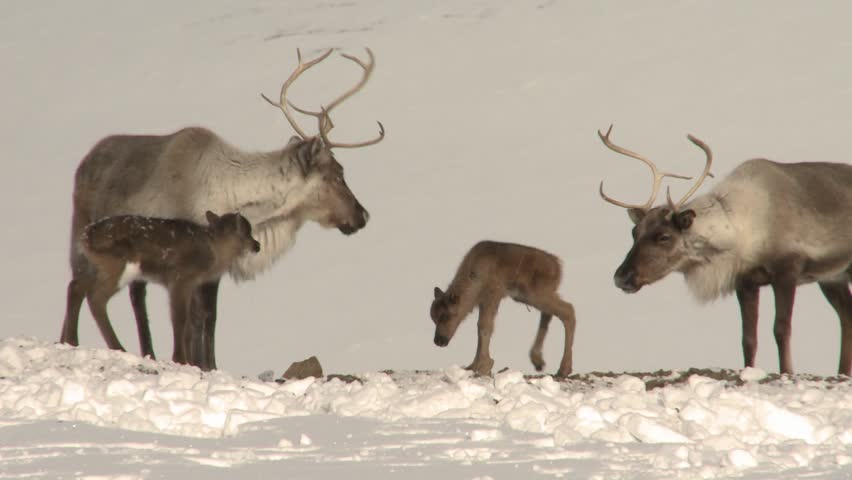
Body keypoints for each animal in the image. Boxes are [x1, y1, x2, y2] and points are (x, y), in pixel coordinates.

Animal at [77, 212, 261, 364]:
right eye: (247, 232)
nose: (257, 245)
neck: (215, 252)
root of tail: (86, 235)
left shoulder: (191, 284)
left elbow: (188, 322)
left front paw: (189, 361)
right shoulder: (180, 278)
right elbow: (179, 318)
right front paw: (180, 359)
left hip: (100, 266)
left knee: (83, 288)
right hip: (118, 264)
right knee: (96, 297)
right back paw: (118, 347)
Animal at [430, 241, 577, 377]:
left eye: (446, 315)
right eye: (433, 318)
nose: (439, 341)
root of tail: (557, 266)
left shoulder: (493, 295)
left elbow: (484, 327)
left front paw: (484, 366)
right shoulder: (484, 302)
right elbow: (481, 329)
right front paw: (473, 366)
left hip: (536, 295)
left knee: (568, 310)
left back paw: (563, 369)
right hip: (527, 297)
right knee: (549, 314)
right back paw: (538, 361)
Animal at [597, 124, 852, 376]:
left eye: (664, 236)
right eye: (634, 232)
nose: (622, 277)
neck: (742, 231)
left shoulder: (787, 271)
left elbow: (781, 329)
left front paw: (786, 372)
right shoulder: (745, 281)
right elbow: (748, 339)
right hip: (833, 277)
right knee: (846, 315)